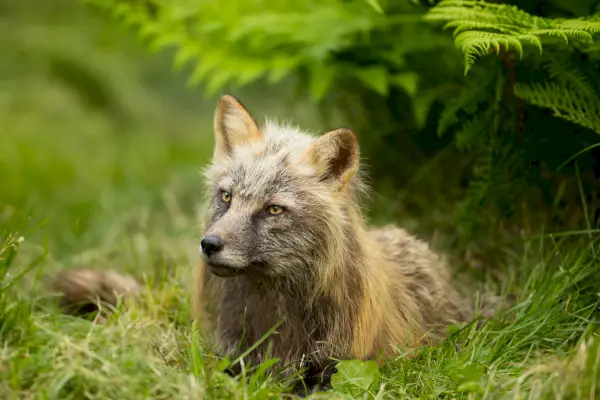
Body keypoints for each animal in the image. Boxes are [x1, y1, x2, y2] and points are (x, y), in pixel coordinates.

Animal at [50, 95, 474, 396]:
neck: (276, 318)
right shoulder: (229, 357)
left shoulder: (334, 368)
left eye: (273, 209)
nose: (209, 244)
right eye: (226, 197)